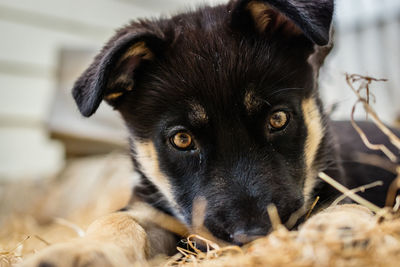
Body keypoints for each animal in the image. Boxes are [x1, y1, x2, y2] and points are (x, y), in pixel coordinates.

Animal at [25, 0, 400, 266]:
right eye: (182, 139)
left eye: (278, 119)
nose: (253, 237)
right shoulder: (152, 210)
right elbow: (116, 221)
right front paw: (80, 251)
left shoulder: (335, 185)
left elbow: (344, 206)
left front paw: (334, 233)